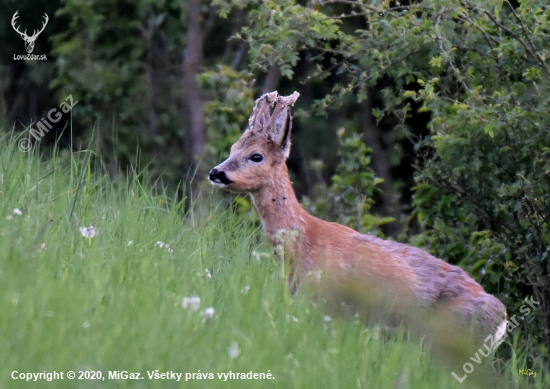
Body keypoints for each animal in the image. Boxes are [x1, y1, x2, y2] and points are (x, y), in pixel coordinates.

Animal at [210, 90, 508, 342]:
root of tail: (503, 318)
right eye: (233, 149)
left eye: (256, 156)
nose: (216, 172)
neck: (303, 244)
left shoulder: (325, 302)